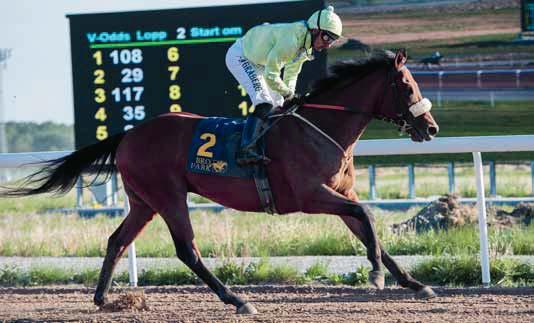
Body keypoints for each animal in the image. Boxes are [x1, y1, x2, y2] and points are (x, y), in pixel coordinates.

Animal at [3, 49, 440, 316]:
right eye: (406, 85)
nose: (432, 127)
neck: (321, 127)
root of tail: (128, 134)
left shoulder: (339, 193)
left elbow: (369, 231)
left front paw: (414, 283)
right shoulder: (311, 195)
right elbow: (366, 217)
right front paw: (377, 276)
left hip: (143, 202)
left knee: (117, 240)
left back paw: (102, 297)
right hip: (168, 196)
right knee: (187, 250)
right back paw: (237, 299)